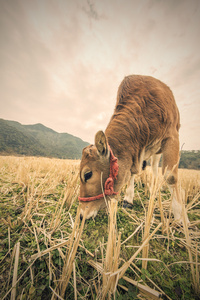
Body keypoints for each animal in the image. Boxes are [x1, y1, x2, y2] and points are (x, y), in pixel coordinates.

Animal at [78, 74, 186, 223]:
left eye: (88, 174)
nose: (81, 214)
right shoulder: (135, 152)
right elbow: (132, 172)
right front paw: (128, 199)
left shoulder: (172, 136)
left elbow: (170, 176)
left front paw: (180, 217)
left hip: (158, 151)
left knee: (155, 169)